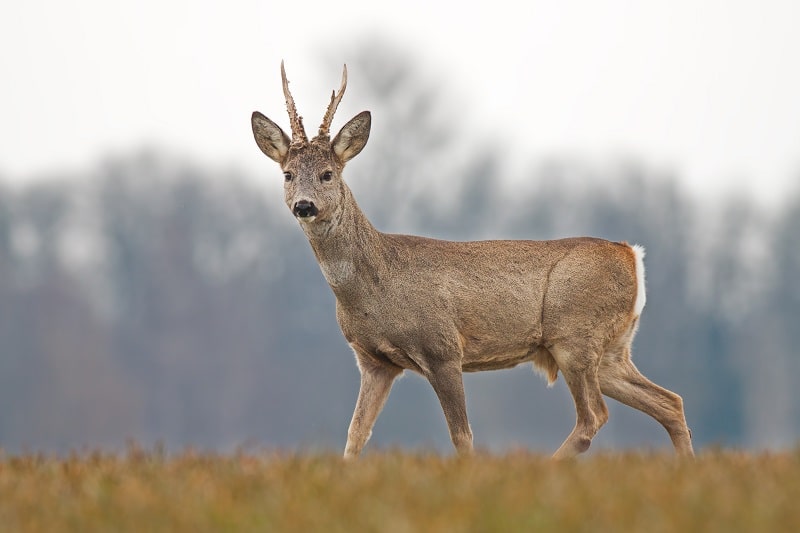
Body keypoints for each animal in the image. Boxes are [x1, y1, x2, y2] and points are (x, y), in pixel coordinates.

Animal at [252, 63, 692, 458]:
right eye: (288, 174)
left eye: (327, 173)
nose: (304, 206)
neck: (376, 286)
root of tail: (630, 253)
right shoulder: (374, 361)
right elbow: (355, 436)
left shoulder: (443, 348)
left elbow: (462, 436)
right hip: (611, 349)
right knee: (670, 402)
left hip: (576, 335)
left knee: (594, 417)